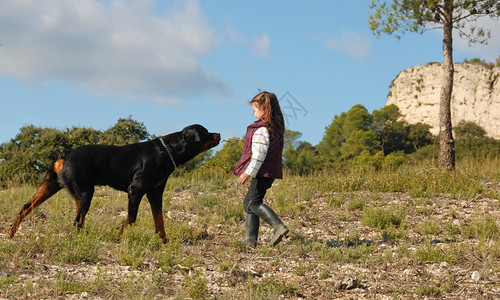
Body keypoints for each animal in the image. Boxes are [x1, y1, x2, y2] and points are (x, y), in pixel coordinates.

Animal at [6, 123, 220, 243]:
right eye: (205, 132)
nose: (218, 134)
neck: (168, 150)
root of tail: (64, 153)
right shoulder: (135, 191)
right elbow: (131, 219)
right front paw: (117, 236)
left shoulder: (155, 193)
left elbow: (159, 220)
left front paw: (164, 240)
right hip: (85, 193)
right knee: (77, 221)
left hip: (50, 186)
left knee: (26, 207)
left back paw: (10, 233)